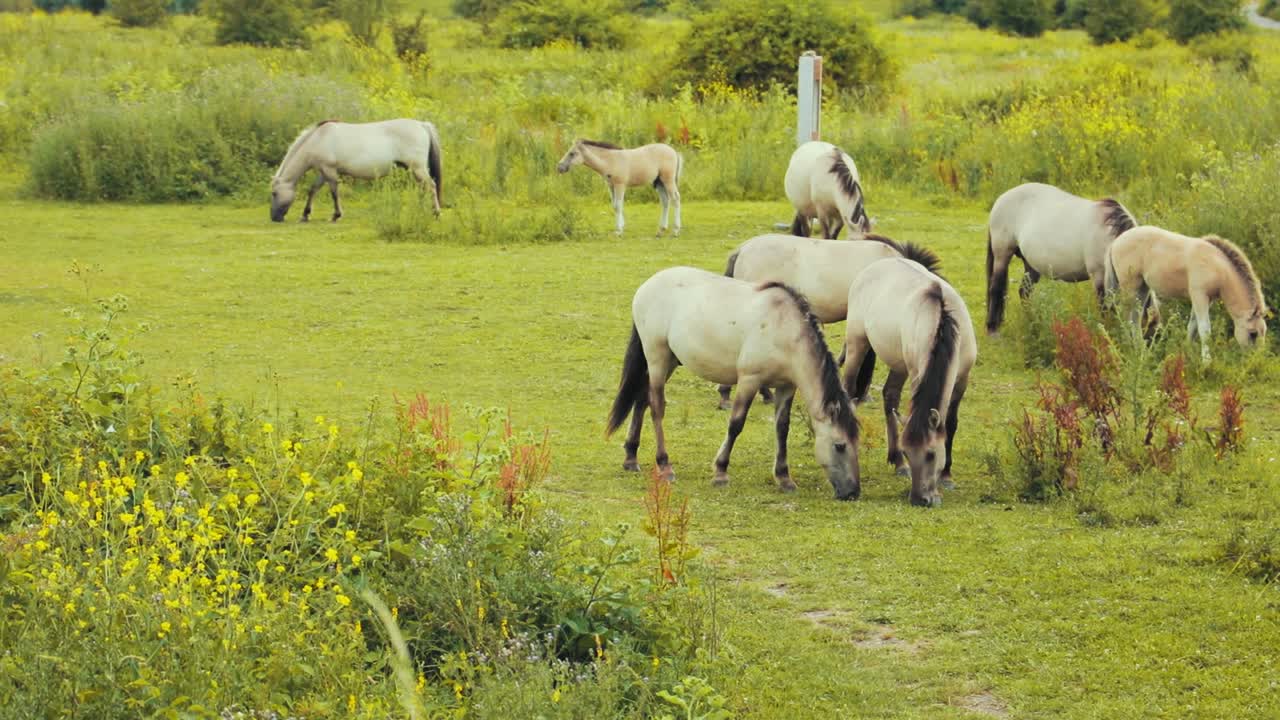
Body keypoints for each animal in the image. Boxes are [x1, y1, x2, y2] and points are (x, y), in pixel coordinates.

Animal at [270, 119, 442, 223]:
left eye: (274, 193)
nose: (274, 218)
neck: (318, 139)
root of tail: (422, 125)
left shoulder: (330, 171)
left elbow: (334, 193)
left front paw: (336, 215)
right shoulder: (323, 172)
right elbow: (313, 190)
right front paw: (305, 215)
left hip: (418, 168)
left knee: (431, 186)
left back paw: (436, 213)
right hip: (414, 170)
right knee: (423, 188)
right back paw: (421, 210)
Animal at [605, 267, 861, 500]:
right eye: (840, 445)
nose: (852, 492)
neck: (784, 330)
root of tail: (648, 285)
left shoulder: (786, 386)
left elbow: (782, 428)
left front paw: (784, 477)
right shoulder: (749, 380)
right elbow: (736, 424)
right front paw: (720, 472)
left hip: (669, 360)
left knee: (641, 399)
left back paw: (631, 457)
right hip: (657, 357)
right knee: (656, 406)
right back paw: (664, 465)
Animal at [842, 258, 977, 508]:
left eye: (931, 454)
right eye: (908, 451)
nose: (920, 499)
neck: (943, 323)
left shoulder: (962, 379)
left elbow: (951, 424)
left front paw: (947, 476)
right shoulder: (917, 375)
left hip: (898, 363)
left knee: (890, 396)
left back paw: (897, 464)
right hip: (857, 344)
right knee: (850, 391)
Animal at [985, 182, 1137, 333]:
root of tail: (1001, 198)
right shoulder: (1099, 275)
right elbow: (1105, 307)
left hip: (1030, 265)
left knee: (1024, 291)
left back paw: (1034, 324)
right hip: (1002, 254)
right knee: (996, 288)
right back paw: (993, 328)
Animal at [1104, 225, 1270, 362]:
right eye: (1253, 333)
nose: (1255, 361)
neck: (1217, 266)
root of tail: (1115, 243)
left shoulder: (1205, 299)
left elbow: (1193, 326)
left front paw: (1187, 351)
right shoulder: (1199, 295)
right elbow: (1204, 329)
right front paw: (1206, 362)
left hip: (1142, 288)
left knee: (1135, 318)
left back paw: (1141, 350)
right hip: (1129, 287)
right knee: (1126, 316)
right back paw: (1130, 347)